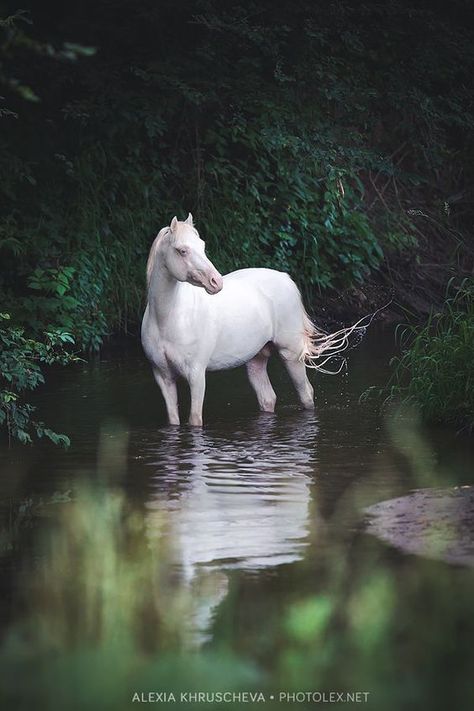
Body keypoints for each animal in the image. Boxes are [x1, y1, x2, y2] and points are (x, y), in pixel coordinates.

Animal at [141, 214, 360, 426]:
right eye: (182, 250)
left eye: (202, 246)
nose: (216, 282)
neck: (168, 320)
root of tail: (286, 278)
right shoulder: (163, 377)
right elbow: (173, 421)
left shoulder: (196, 374)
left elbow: (195, 420)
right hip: (256, 359)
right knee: (268, 398)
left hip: (290, 354)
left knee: (306, 393)